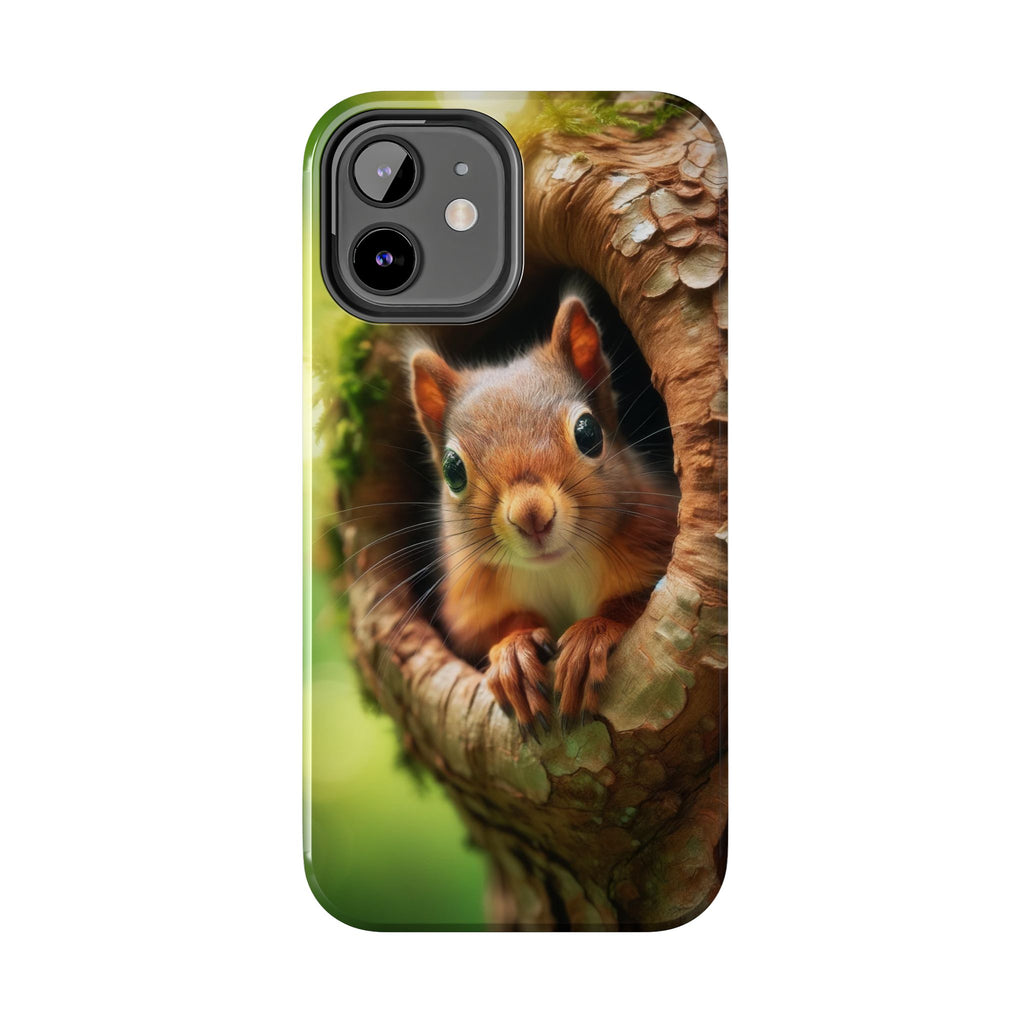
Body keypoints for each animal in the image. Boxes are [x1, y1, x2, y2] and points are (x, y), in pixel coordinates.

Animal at [408, 295, 678, 736]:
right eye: (452, 470)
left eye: (588, 433)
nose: (531, 515)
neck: (556, 569)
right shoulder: (470, 598)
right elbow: (488, 630)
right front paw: (514, 653)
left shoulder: (655, 532)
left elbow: (635, 601)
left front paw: (590, 636)